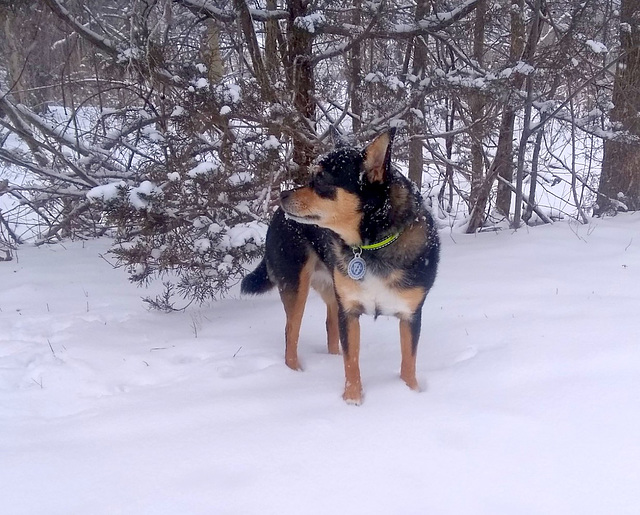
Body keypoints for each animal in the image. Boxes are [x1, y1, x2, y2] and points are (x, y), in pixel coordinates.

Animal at [240, 129, 440, 404]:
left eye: (322, 178)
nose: (282, 196)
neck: (370, 245)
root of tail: (277, 217)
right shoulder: (350, 310)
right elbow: (351, 361)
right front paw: (352, 399)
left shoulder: (410, 314)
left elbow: (408, 362)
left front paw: (410, 393)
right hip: (295, 284)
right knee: (291, 333)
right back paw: (294, 374)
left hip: (331, 286)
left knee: (329, 326)